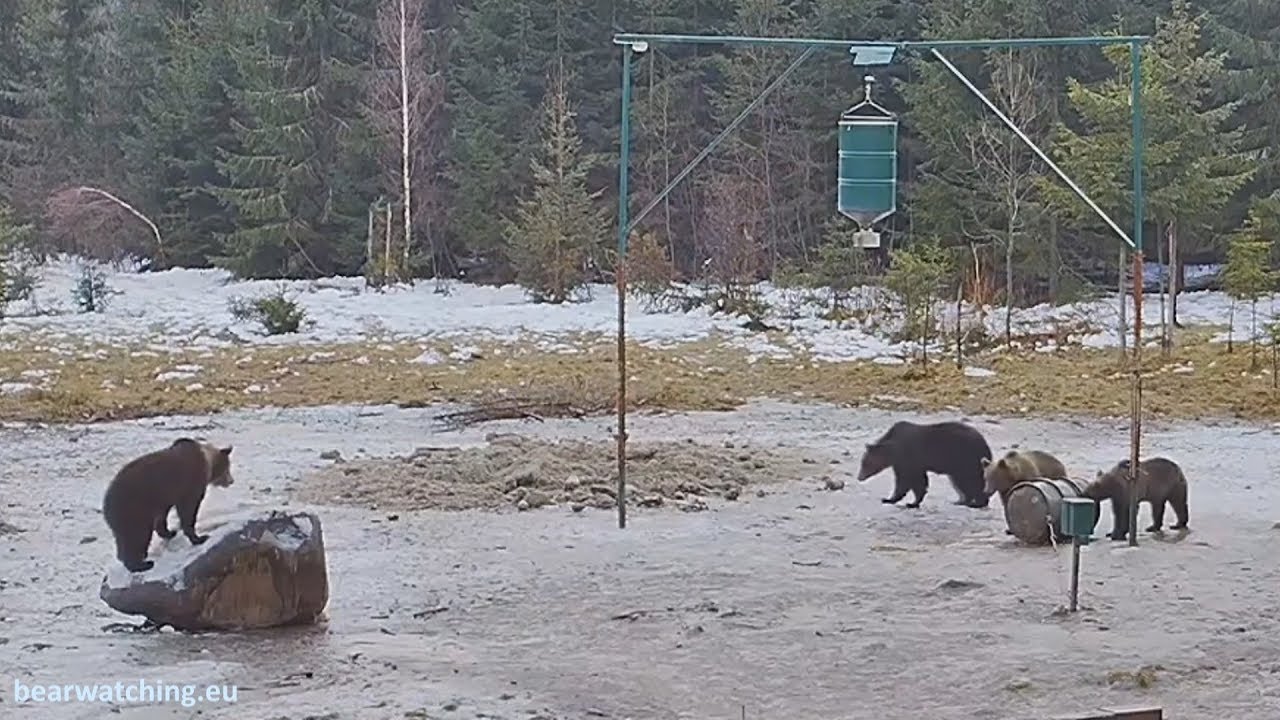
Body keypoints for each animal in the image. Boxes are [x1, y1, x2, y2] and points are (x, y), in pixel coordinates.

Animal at [102, 438, 235, 573]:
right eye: (227, 467)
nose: (231, 481)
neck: (207, 462)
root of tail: (106, 503)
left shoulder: (163, 498)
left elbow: (162, 516)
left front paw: (170, 532)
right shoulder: (189, 485)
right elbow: (188, 511)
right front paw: (199, 538)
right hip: (134, 508)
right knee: (138, 535)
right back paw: (143, 564)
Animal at [856, 420, 992, 509]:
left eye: (865, 463)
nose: (859, 477)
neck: (893, 451)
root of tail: (985, 444)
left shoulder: (908, 459)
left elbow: (907, 480)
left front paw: (893, 500)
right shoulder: (905, 462)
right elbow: (917, 481)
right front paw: (911, 501)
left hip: (966, 460)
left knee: (972, 481)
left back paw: (977, 503)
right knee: (961, 482)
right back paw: (962, 501)